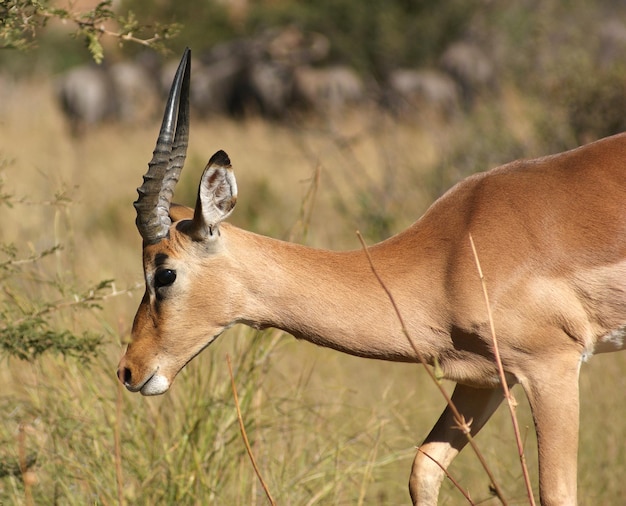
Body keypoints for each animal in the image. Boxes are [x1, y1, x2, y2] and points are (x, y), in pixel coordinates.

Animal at [117, 48, 624, 506]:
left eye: (164, 273)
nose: (128, 370)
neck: (454, 253)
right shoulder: (486, 379)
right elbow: (423, 469)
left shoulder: (552, 367)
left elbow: (557, 494)